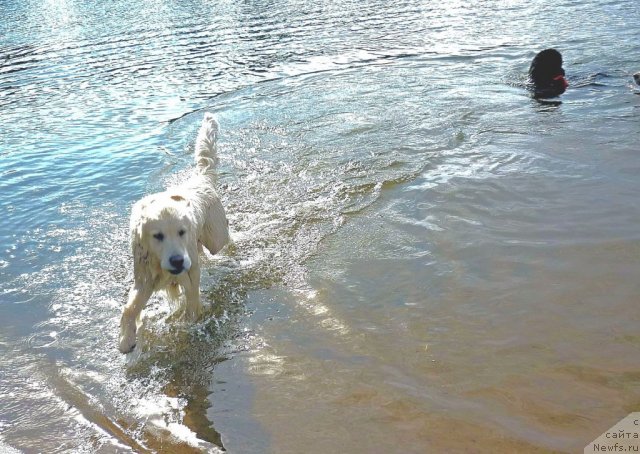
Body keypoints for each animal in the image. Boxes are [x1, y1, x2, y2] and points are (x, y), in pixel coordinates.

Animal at [120, 113, 230, 354]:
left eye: (181, 232)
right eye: (157, 236)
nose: (178, 261)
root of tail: (200, 178)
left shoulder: (190, 272)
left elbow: (192, 301)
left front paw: (189, 327)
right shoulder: (144, 276)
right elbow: (130, 308)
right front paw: (126, 339)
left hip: (216, 237)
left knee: (224, 239)